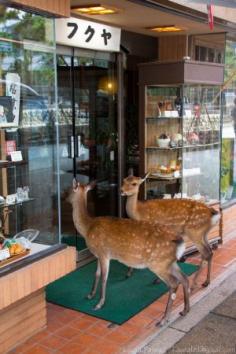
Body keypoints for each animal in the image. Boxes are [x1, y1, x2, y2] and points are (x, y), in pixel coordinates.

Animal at [69, 180, 190, 326]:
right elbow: (96, 274)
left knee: (174, 283)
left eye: (69, 190)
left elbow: (104, 278)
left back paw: (163, 319)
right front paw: (90, 295)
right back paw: (185, 310)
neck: (88, 228)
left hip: (158, 263)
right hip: (169, 262)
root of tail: (179, 241)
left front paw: (99, 304)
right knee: (184, 278)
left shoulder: (104, 253)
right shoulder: (98, 255)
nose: (64, 198)